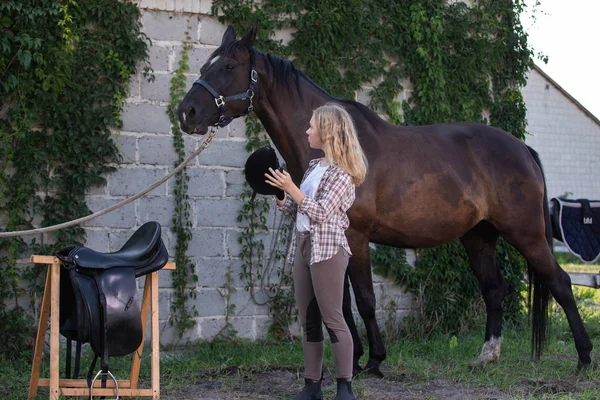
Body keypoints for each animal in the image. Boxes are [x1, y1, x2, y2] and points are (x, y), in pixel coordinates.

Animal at [176, 26, 592, 374]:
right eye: (206, 64)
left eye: (229, 65)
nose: (187, 112)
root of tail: (522, 148)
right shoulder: (333, 237)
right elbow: (340, 301)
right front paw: (354, 357)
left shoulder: (357, 237)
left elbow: (364, 300)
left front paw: (374, 360)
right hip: (479, 236)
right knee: (493, 289)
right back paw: (485, 357)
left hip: (527, 234)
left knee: (560, 283)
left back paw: (584, 359)